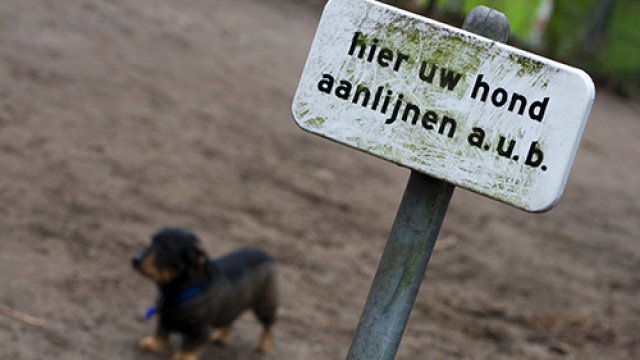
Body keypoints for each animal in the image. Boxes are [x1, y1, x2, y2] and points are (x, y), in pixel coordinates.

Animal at [131, 228, 276, 360]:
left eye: (167, 248)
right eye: (152, 241)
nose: (135, 259)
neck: (179, 293)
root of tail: (267, 255)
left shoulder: (199, 331)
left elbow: (187, 346)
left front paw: (183, 357)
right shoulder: (165, 318)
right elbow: (161, 333)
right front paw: (152, 344)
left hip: (264, 305)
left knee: (268, 325)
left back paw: (264, 344)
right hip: (233, 304)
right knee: (230, 318)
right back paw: (222, 336)